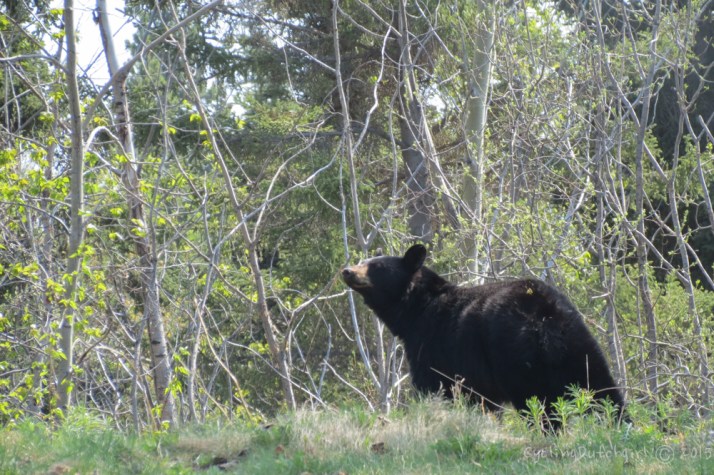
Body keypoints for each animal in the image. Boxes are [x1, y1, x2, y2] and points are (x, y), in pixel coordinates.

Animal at [342, 244, 625, 425]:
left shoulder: (434, 345)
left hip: (515, 356)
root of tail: (544, 316)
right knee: (603, 389)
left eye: (376, 266)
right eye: (364, 261)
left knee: (536, 404)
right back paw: (621, 424)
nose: (347, 270)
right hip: (578, 342)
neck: (415, 310)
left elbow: (434, 387)